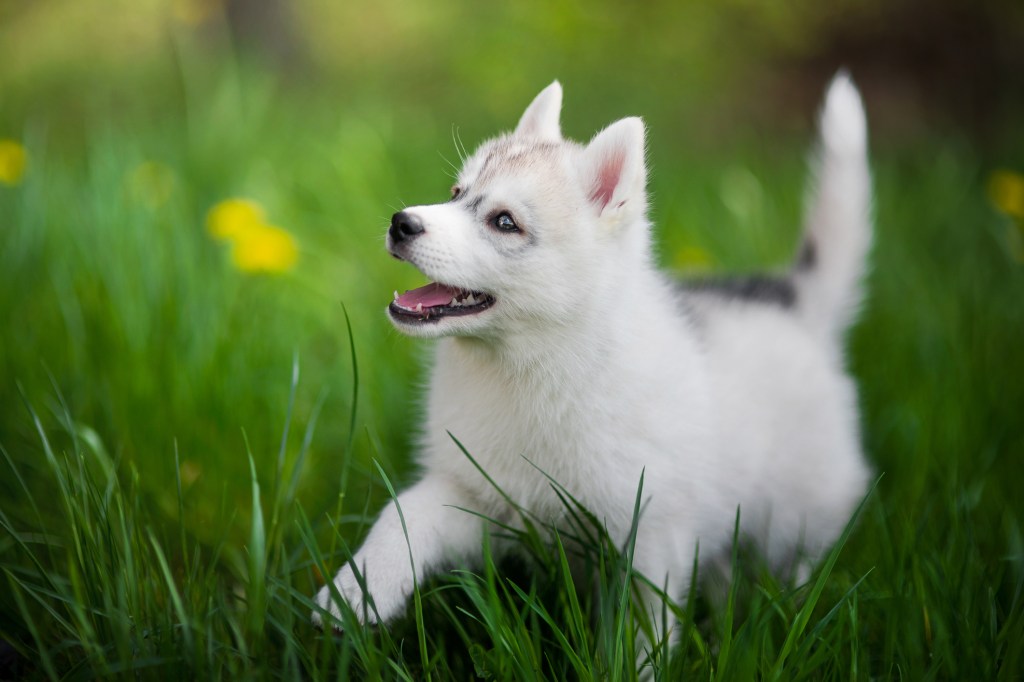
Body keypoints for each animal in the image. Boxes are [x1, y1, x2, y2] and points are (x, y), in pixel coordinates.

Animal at [311, 74, 872, 647]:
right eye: (456, 194)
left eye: (504, 222)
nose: (401, 223)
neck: (532, 369)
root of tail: (793, 299)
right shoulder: (475, 492)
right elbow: (404, 513)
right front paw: (359, 589)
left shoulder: (653, 536)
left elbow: (641, 627)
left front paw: (633, 660)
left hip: (799, 509)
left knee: (796, 559)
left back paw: (786, 615)